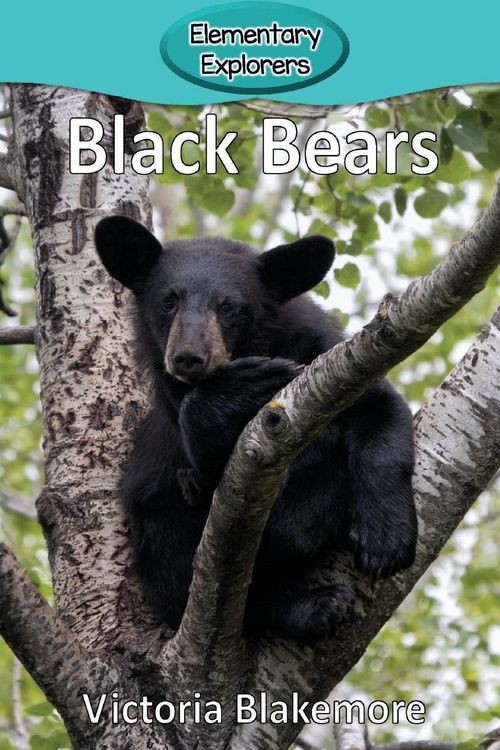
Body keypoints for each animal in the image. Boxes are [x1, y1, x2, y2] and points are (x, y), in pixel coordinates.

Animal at [94, 215, 417, 642]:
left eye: (228, 306)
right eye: (168, 301)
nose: (188, 357)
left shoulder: (328, 358)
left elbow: (380, 410)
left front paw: (385, 541)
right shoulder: (173, 415)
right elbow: (208, 463)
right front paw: (245, 385)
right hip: (156, 526)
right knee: (180, 575)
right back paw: (314, 606)